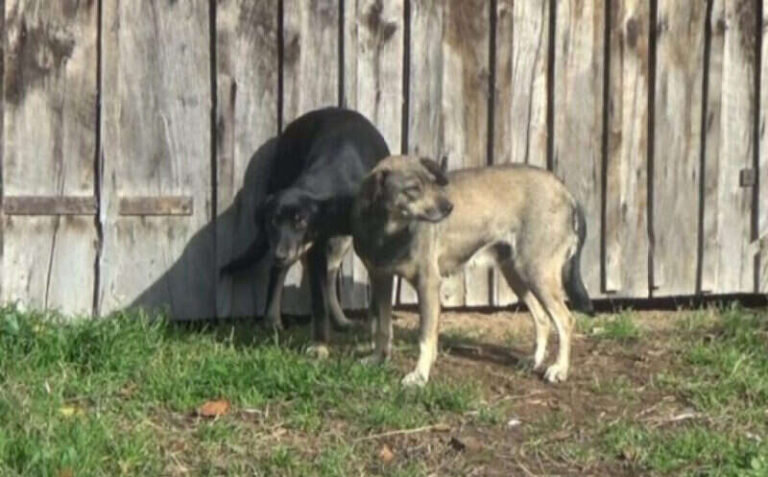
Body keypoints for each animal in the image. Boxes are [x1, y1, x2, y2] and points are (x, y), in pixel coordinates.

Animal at [220, 106, 390, 344]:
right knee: (284, 272)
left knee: (329, 274)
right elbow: (318, 294)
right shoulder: (312, 247)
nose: (280, 254)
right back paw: (273, 321)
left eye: (300, 221)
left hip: (337, 242)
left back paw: (340, 320)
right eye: (273, 221)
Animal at [352, 156, 592, 386]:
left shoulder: (427, 283)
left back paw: (559, 369)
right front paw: (378, 359)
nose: (449, 208)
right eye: (413, 189)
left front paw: (419, 376)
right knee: (542, 318)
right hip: (516, 273)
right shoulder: (380, 279)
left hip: (537, 273)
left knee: (565, 320)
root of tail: (565, 190)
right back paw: (534, 361)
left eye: (432, 182)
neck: (387, 233)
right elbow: (383, 328)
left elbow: (425, 338)